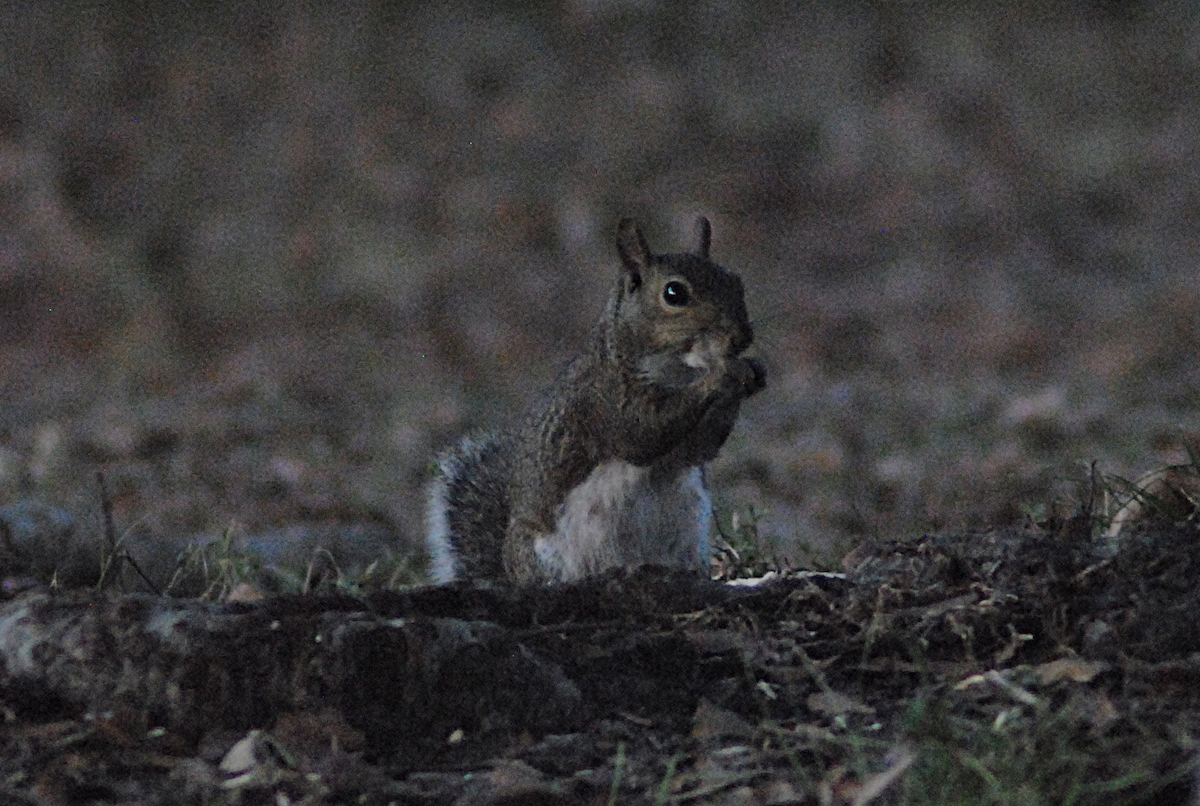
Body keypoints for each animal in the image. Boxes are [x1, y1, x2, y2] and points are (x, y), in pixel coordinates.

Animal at [425, 217, 765, 584]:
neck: (677, 371)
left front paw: (750, 373)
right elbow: (643, 432)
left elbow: (700, 450)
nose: (741, 337)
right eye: (674, 293)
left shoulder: (688, 448)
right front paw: (722, 375)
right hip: (547, 555)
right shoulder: (603, 399)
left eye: (736, 282)